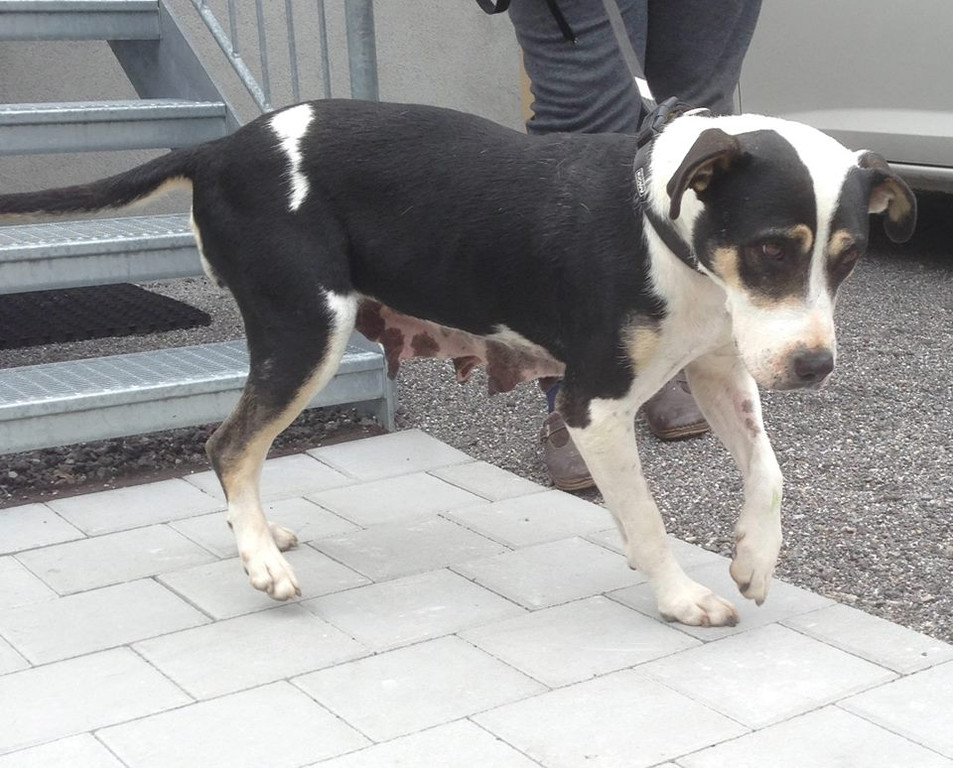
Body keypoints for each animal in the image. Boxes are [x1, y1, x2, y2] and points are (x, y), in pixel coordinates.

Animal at [0, 99, 916, 627]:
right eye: (770, 249)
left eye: (845, 259)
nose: (813, 367)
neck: (663, 228)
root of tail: (221, 146)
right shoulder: (593, 405)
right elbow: (648, 520)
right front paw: (679, 597)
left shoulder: (719, 371)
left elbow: (769, 476)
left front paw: (754, 558)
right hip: (308, 330)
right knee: (229, 445)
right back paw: (260, 559)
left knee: (245, 451)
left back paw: (259, 530)